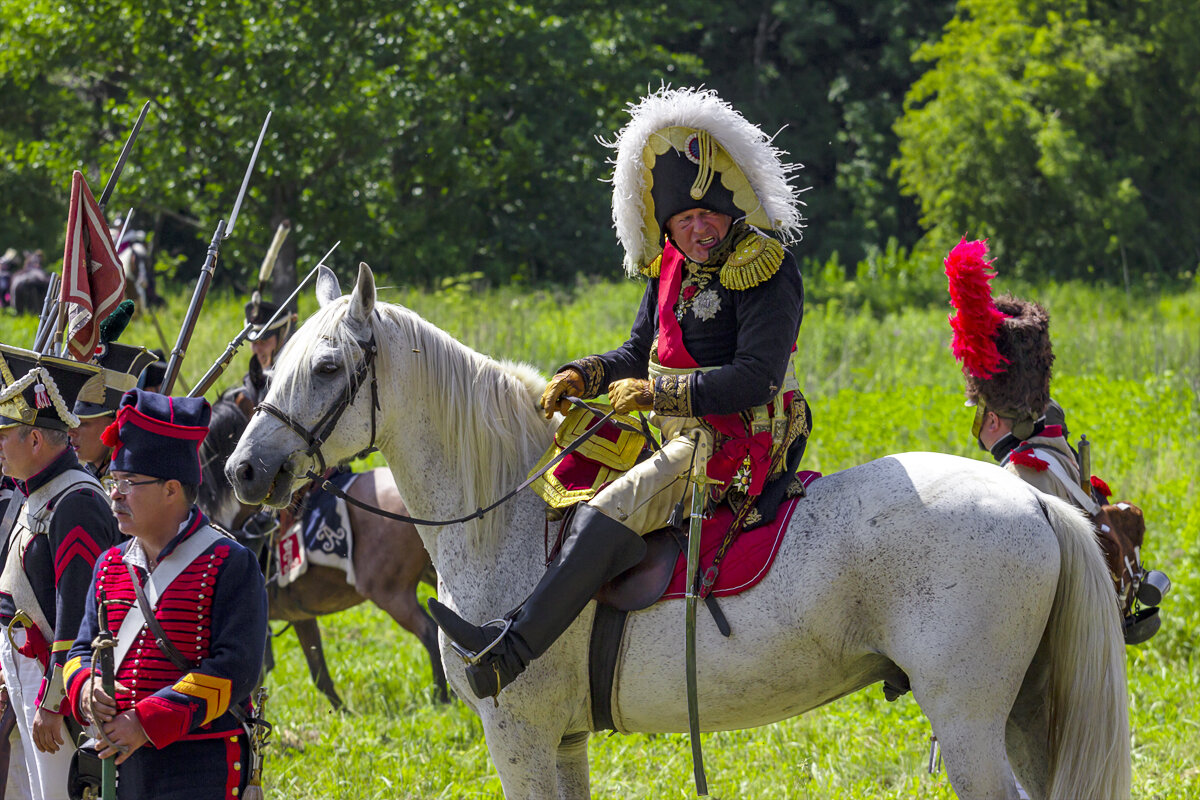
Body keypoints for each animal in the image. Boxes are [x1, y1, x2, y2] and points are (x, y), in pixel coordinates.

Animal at [199, 388, 448, 705]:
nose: (243, 472)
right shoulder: (300, 617)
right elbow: (317, 672)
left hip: (392, 595)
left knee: (429, 632)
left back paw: (441, 698)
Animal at [226, 262, 1132, 800]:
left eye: (329, 367)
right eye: (276, 368)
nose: (244, 472)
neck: (506, 519)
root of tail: (1037, 504)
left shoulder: (520, 736)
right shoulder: (561, 741)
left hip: (969, 718)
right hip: (1024, 711)